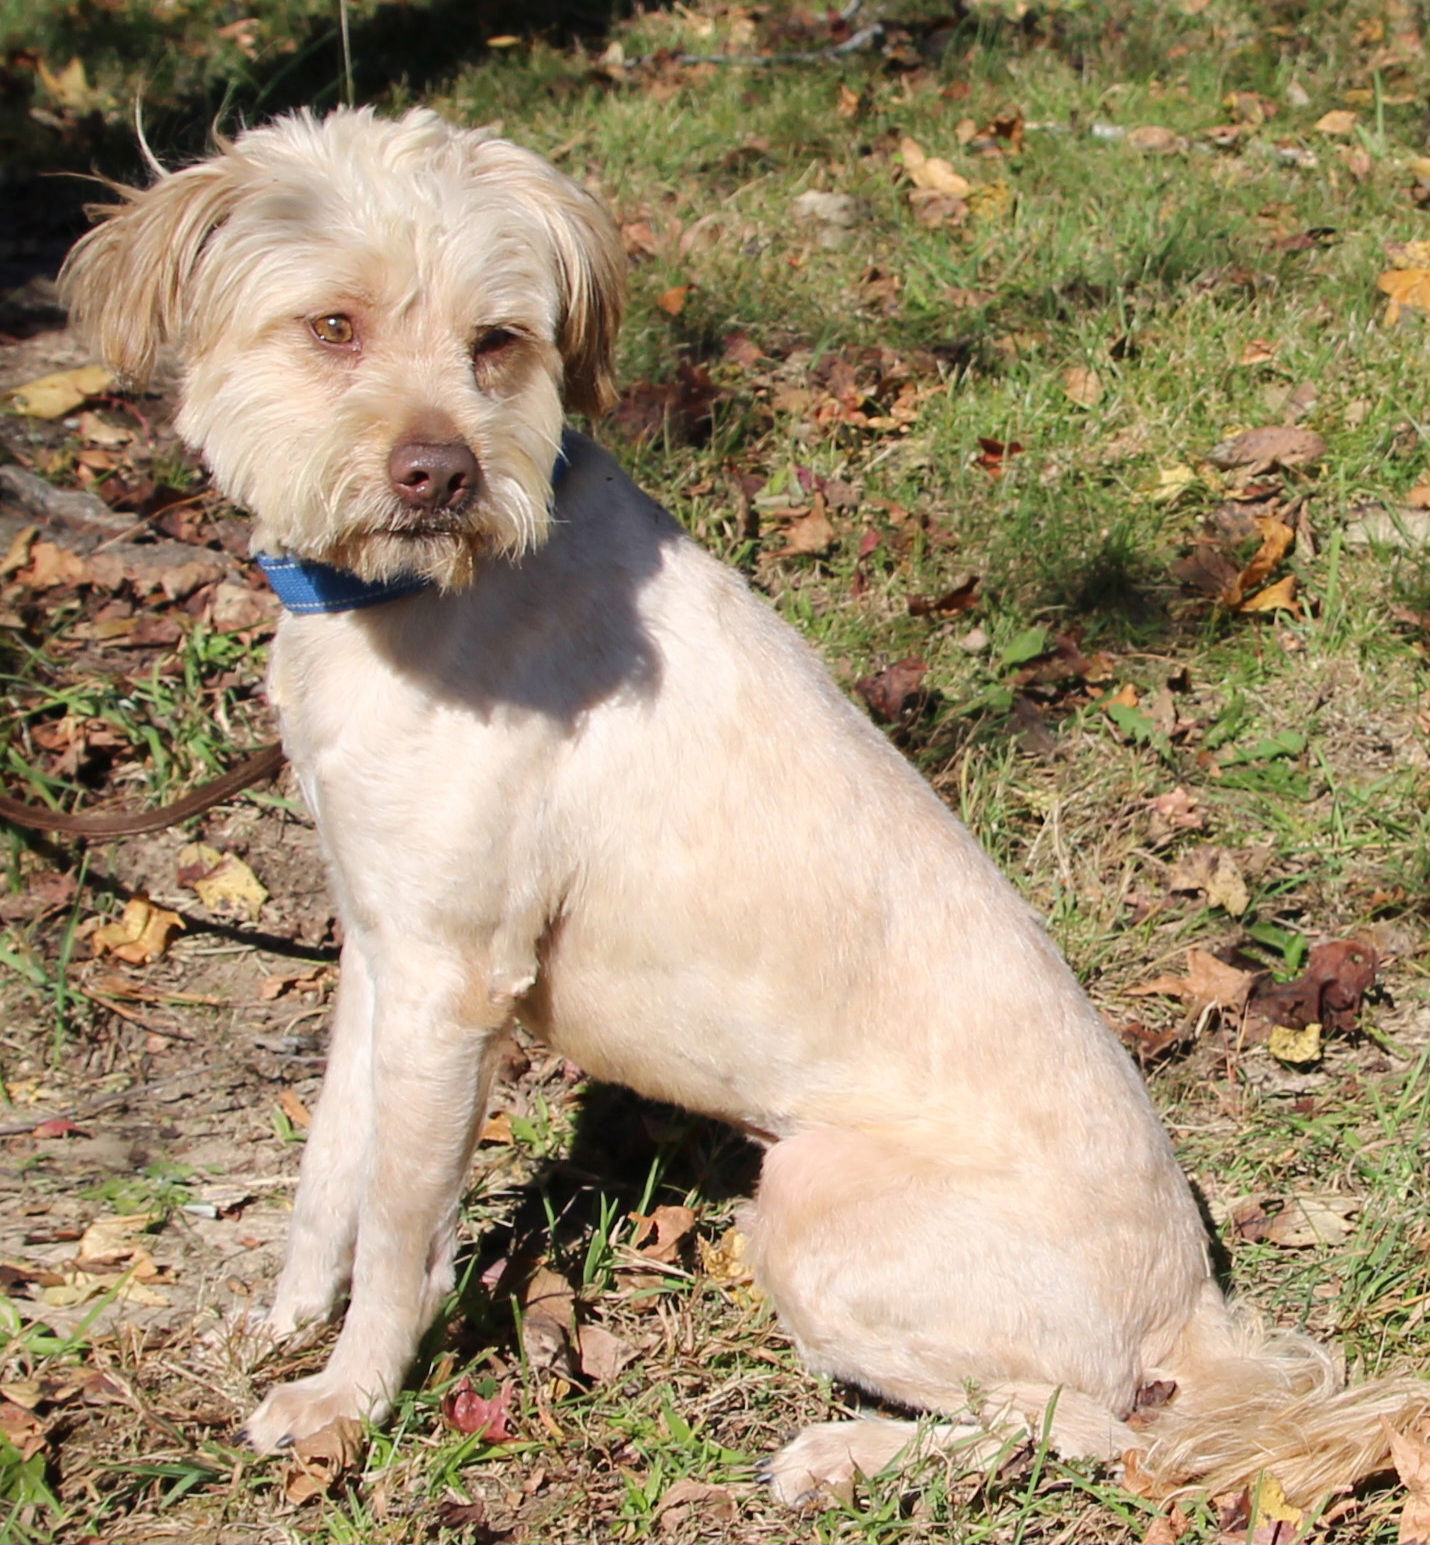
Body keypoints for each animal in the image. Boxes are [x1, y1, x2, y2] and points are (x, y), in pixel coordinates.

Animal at [61, 112, 1426, 1507]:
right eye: (331, 326)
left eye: (496, 340)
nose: (437, 474)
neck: (406, 600)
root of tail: (1189, 1304)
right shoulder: (375, 945)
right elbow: (328, 1171)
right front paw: (282, 1324)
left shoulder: (450, 979)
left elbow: (400, 1228)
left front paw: (347, 1402)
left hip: (809, 1207)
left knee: (1082, 1424)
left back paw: (842, 1454)